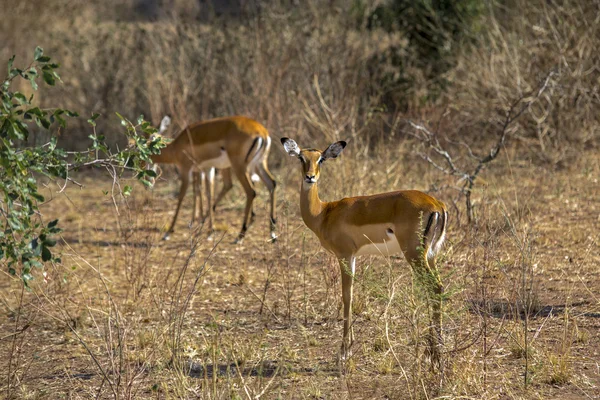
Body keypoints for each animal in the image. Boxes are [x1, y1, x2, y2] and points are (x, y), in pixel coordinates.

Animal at [152, 114, 278, 242]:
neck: (176, 146)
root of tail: (262, 132)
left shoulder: (187, 170)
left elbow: (183, 196)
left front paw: (168, 232)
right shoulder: (207, 169)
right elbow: (208, 194)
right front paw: (207, 230)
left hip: (239, 167)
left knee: (250, 191)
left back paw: (240, 235)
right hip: (259, 164)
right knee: (271, 183)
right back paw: (272, 232)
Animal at [282, 138, 446, 362]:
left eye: (321, 159)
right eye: (301, 157)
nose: (310, 177)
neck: (324, 213)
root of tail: (437, 204)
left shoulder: (344, 254)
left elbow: (346, 295)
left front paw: (343, 351)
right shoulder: (352, 256)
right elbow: (350, 295)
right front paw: (349, 346)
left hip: (414, 254)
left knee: (435, 286)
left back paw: (434, 352)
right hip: (431, 255)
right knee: (436, 287)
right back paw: (434, 349)